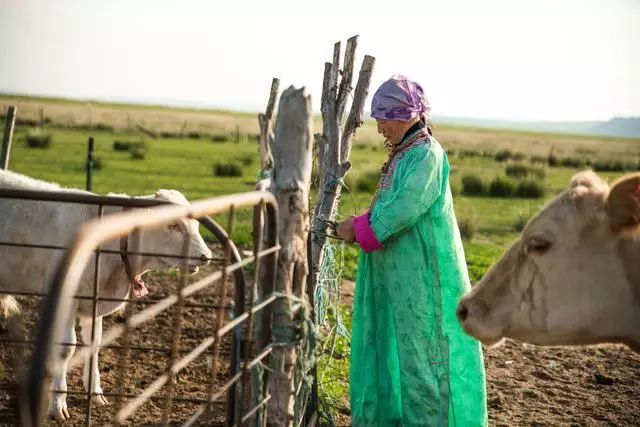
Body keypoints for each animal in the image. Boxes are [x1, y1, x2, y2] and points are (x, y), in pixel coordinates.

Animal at [0, 169, 215, 420]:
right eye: (173, 224)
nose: (206, 256)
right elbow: (66, 348)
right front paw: (57, 404)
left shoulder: (94, 302)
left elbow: (94, 343)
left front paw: (95, 392)